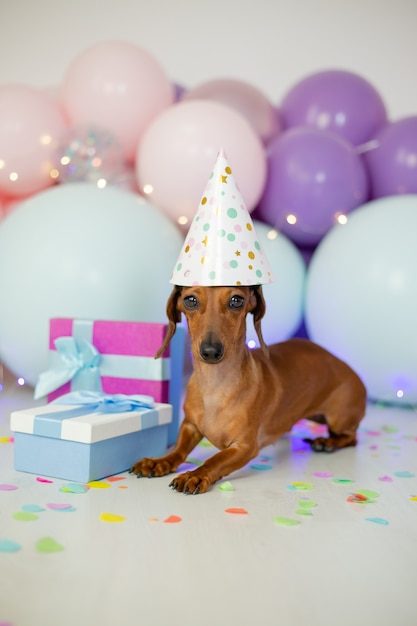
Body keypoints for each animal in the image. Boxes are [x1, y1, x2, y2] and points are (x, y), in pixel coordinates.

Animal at [129, 282, 364, 492]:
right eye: (190, 300)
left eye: (236, 300)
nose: (211, 351)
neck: (215, 386)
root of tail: (347, 367)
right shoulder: (190, 425)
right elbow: (179, 450)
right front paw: (159, 461)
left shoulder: (245, 446)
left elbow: (216, 460)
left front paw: (196, 475)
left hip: (338, 418)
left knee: (351, 438)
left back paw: (327, 442)